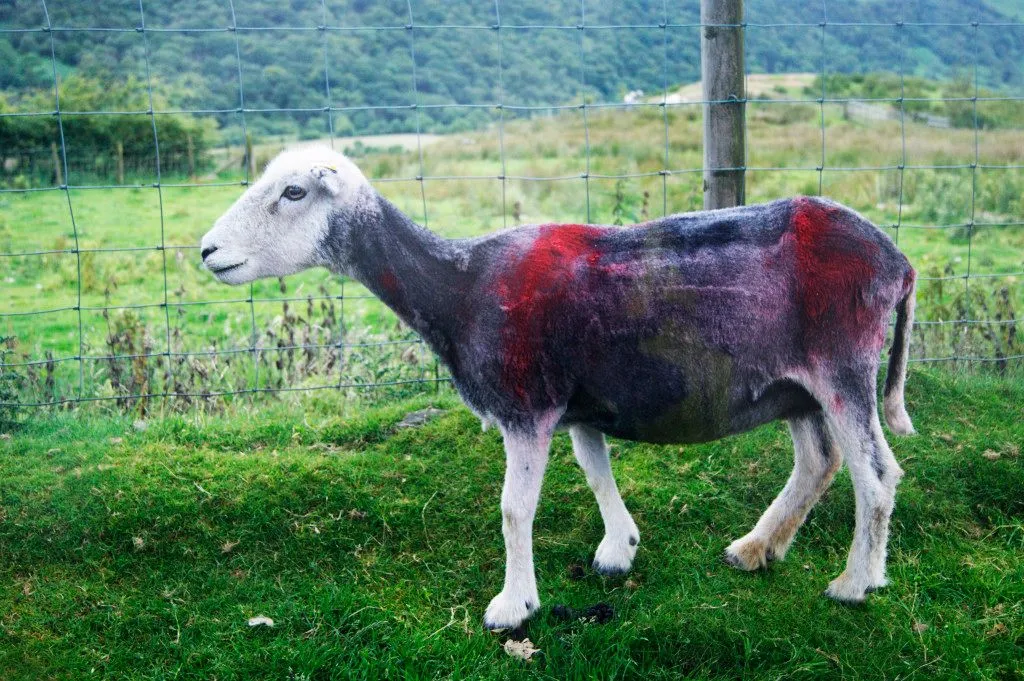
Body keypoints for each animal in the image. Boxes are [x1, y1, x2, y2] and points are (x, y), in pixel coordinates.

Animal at [201, 146, 921, 630]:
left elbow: (515, 509)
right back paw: (757, 547)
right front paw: (618, 549)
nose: (207, 251)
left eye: (294, 192)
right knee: (819, 461)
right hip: (794, 385)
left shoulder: (527, 406)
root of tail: (898, 261)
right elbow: (595, 471)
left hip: (843, 367)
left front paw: (513, 604)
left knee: (876, 474)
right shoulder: (577, 406)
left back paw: (857, 581)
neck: (457, 286)